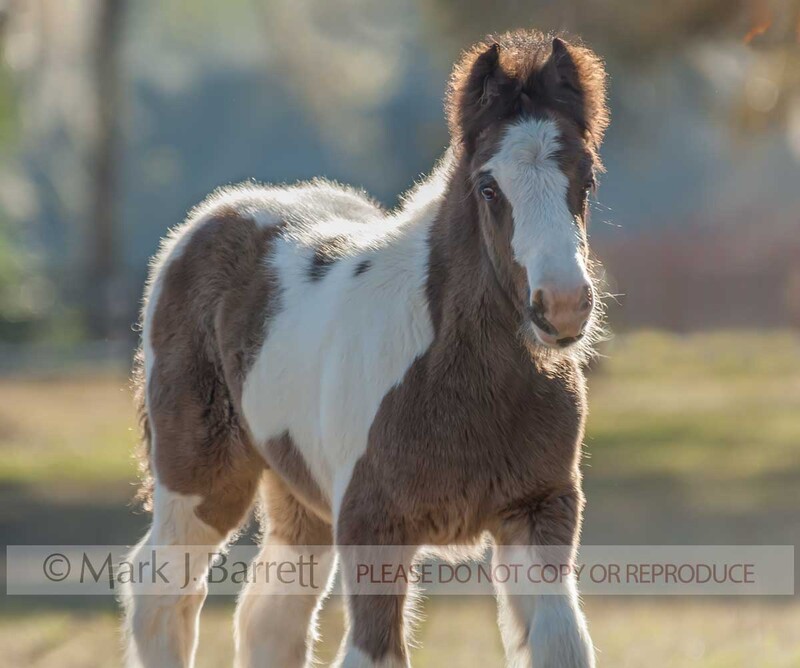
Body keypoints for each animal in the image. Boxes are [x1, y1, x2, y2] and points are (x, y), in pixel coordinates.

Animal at [123, 28, 609, 668]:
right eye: (488, 186)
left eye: (587, 178)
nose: (563, 305)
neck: (461, 379)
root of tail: (210, 218)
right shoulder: (371, 523)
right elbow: (374, 651)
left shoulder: (540, 509)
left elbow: (562, 643)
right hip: (199, 474)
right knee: (163, 588)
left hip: (303, 498)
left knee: (269, 614)